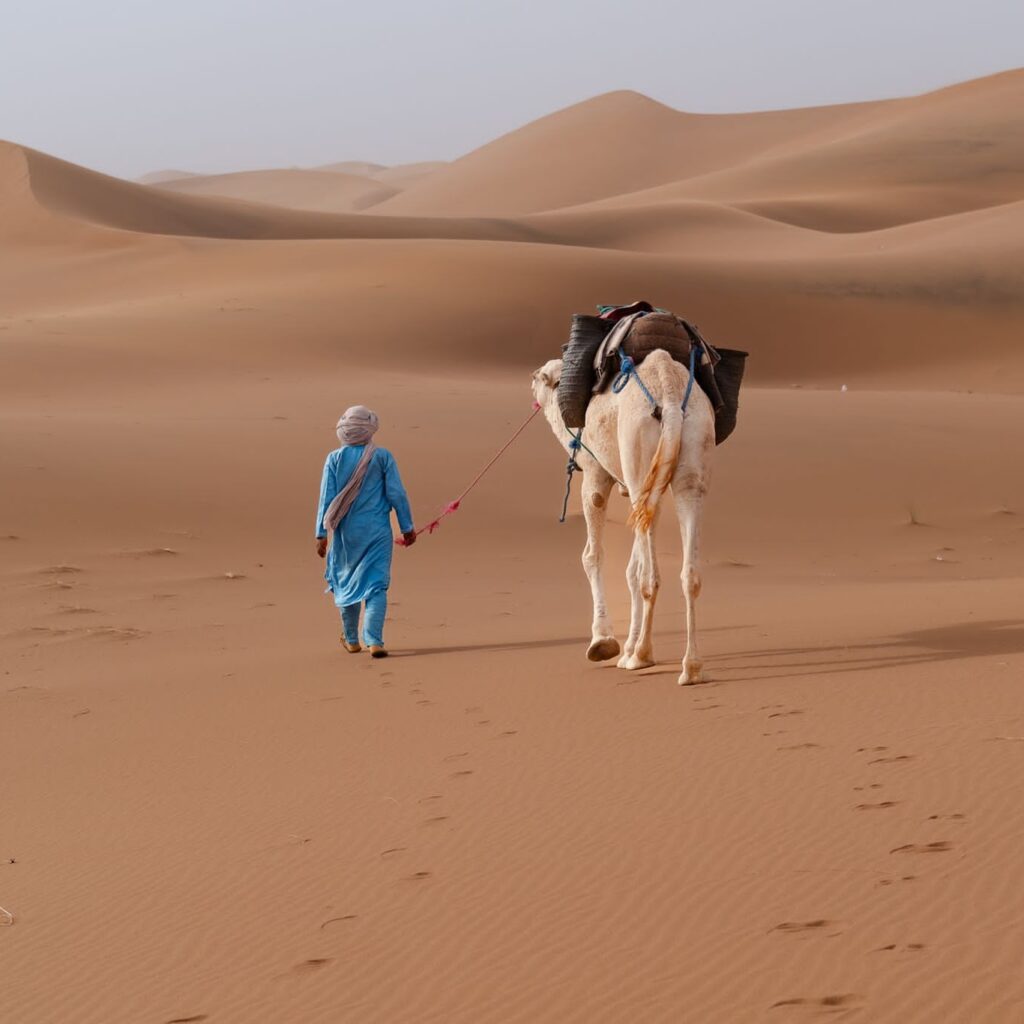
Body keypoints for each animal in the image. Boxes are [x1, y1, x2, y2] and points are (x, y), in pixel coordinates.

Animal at [531, 349, 715, 685]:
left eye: (543, 376)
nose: (532, 376)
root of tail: (669, 397)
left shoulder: (595, 471)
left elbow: (592, 555)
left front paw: (603, 642)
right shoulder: (639, 491)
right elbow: (631, 566)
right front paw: (626, 645)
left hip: (637, 452)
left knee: (649, 577)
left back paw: (641, 656)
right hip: (693, 452)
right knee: (688, 571)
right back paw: (691, 667)